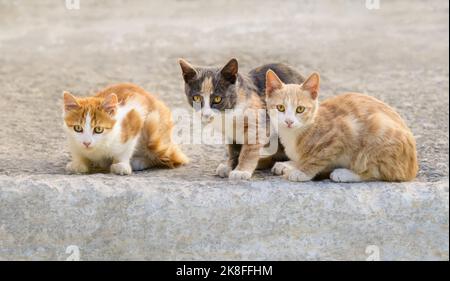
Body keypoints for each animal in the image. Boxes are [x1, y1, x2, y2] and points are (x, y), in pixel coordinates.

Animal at [268, 70, 418, 182]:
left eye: (300, 109)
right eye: (280, 107)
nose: (289, 121)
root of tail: (413, 167)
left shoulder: (341, 134)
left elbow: (318, 157)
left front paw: (302, 172)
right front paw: (292, 164)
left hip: (378, 133)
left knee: (379, 172)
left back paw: (345, 174)